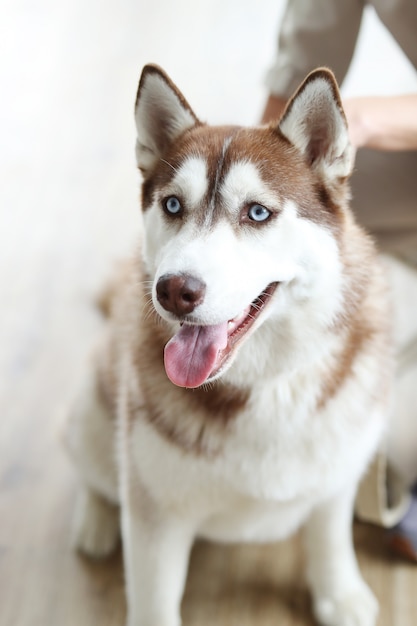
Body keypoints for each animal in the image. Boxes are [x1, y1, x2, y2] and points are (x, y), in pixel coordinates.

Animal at [67, 64, 390, 624]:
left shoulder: (340, 470)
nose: (174, 290)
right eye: (173, 204)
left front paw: (339, 593)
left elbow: (330, 532)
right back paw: (96, 521)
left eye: (257, 213)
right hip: (93, 407)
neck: (268, 384)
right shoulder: (156, 516)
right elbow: (154, 601)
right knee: (95, 473)